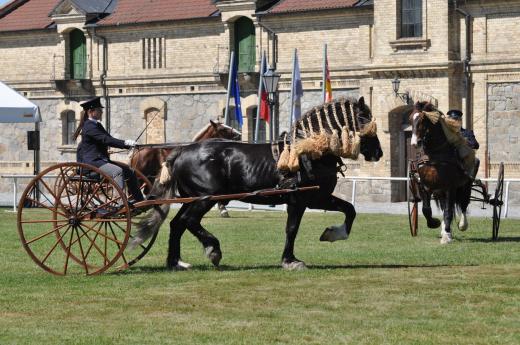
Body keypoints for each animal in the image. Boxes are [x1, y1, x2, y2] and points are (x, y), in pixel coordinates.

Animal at [132, 97, 384, 268]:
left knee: (177, 224)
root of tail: (180, 151)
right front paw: (290, 260)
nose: (379, 153)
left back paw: (176, 261)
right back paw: (213, 249)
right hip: (204, 198)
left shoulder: (317, 197)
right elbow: (292, 229)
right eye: (363, 120)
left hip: (191, 198)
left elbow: (349, 209)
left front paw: (334, 233)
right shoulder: (300, 200)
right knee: (189, 221)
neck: (310, 150)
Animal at [410, 101, 476, 243]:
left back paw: (461, 224)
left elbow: (449, 212)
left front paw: (447, 235)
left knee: (463, 203)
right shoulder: (424, 186)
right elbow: (426, 209)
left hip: (465, 185)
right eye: (411, 119)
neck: (435, 155)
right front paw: (434, 223)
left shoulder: (450, 187)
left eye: (423, 120)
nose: (414, 143)